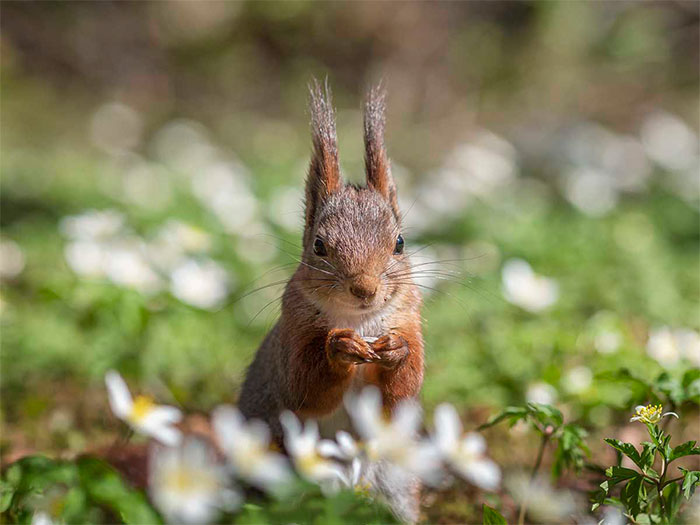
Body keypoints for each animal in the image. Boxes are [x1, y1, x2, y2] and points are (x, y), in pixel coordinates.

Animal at [238, 81, 424, 522]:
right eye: (319, 246)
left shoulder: (411, 318)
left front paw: (396, 351)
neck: (359, 320)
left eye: (400, 243)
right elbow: (304, 387)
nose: (365, 288)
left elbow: (401, 395)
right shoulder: (294, 329)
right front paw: (339, 348)